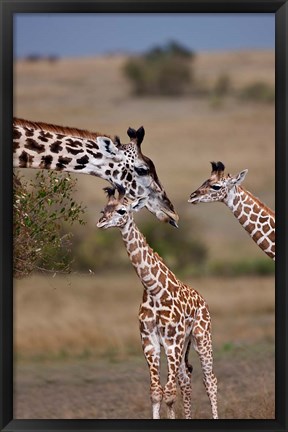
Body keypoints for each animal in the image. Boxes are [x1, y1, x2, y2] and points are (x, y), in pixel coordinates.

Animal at [97, 186, 218, 418]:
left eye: (122, 210)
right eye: (103, 209)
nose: (100, 223)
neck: (153, 289)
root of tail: (203, 300)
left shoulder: (172, 341)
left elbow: (169, 393)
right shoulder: (149, 340)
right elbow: (156, 392)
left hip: (201, 337)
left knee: (210, 381)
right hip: (185, 344)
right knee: (186, 379)